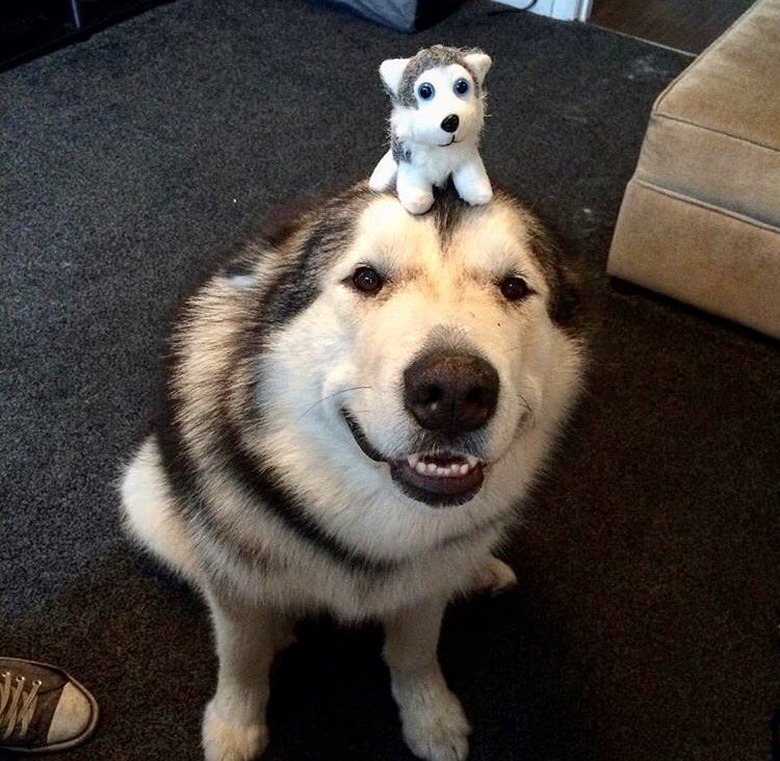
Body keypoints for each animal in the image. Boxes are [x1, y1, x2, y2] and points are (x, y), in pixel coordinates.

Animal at [119, 183, 588, 760]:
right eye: (366, 279)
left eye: (514, 286)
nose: (455, 392)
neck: (375, 508)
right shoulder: (236, 586)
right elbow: (241, 658)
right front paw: (234, 727)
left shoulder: (422, 587)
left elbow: (415, 652)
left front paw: (430, 717)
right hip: (142, 495)